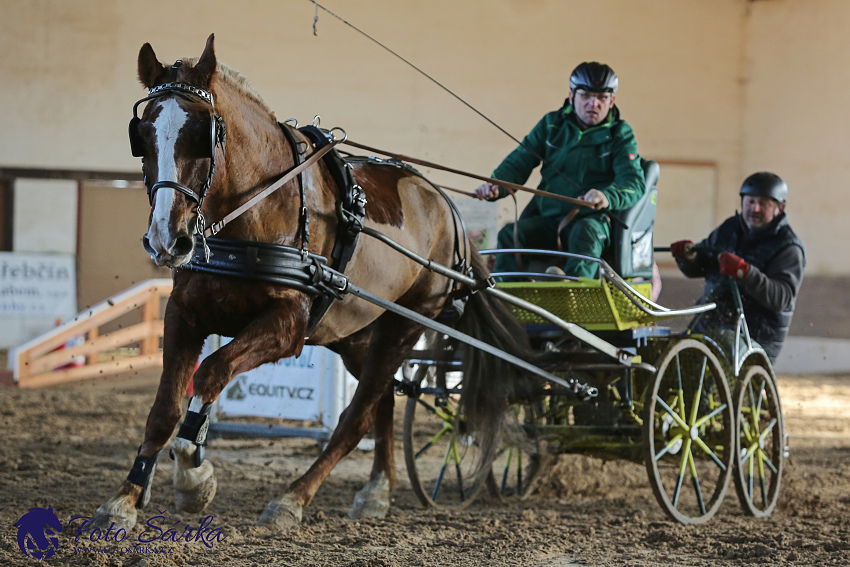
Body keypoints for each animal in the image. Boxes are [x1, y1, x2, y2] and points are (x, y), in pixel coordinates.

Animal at [93, 36, 528, 532]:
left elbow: (212, 372)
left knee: (356, 416)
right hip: (354, 335)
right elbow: (164, 411)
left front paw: (192, 475)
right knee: (381, 402)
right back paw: (377, 491)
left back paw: (293, 498)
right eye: (143, 135)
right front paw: (124, 499)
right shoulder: (184, 314)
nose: (167, 239)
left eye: (203, 133)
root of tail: (447, 209)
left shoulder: (288, 327)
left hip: (404, 327)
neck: (255, 213)